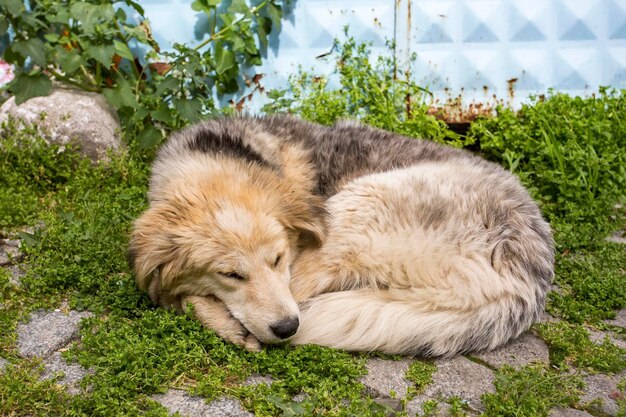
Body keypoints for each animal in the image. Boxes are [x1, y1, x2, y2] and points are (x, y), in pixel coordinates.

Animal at [127, 115, 552, 356]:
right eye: (230, 274)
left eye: (278, 259)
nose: (287, 328)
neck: (216, 159)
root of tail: (529, 275)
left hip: (355, 204)